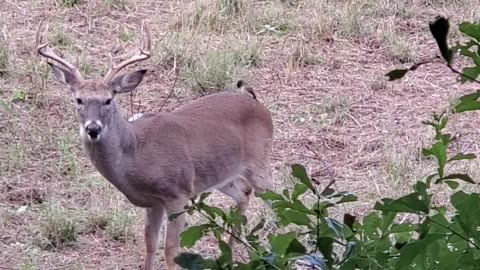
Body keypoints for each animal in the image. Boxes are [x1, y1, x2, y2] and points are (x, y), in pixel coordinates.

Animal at [34, 19, 274, 270]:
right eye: (78, 99)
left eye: (108, 100)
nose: (93, 129)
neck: (136, 152)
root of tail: (259, 105)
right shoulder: (154, 203)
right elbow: (150, 245)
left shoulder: (178, 194)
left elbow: (171, 251)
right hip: (221, 174)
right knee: (244, 192)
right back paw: (229, 255)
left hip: (260, 160)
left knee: (278, 202)